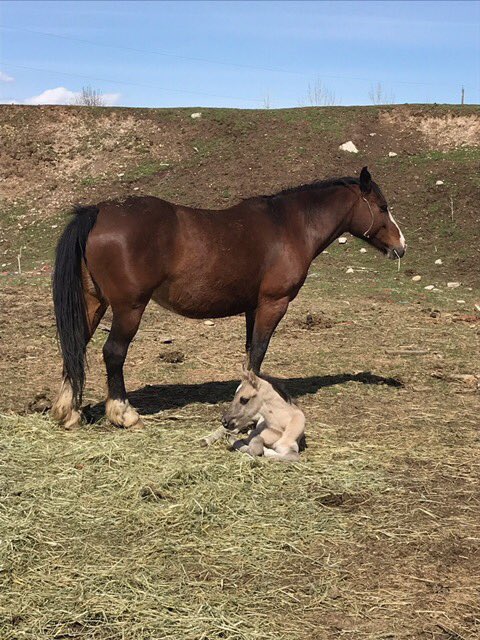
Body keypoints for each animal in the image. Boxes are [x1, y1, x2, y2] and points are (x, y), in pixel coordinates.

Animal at [51, 166, 406, 429]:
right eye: (383, 207)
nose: (401, 246)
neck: (288, 226)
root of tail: (98, 211)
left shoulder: (253, 307)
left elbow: (250, 354)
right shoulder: (273, 303)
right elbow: (259, 352)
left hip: (94, 303)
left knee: (76, 345)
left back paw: (69, 412)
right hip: (129, 308)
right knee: (113, 353)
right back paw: (123, 413)